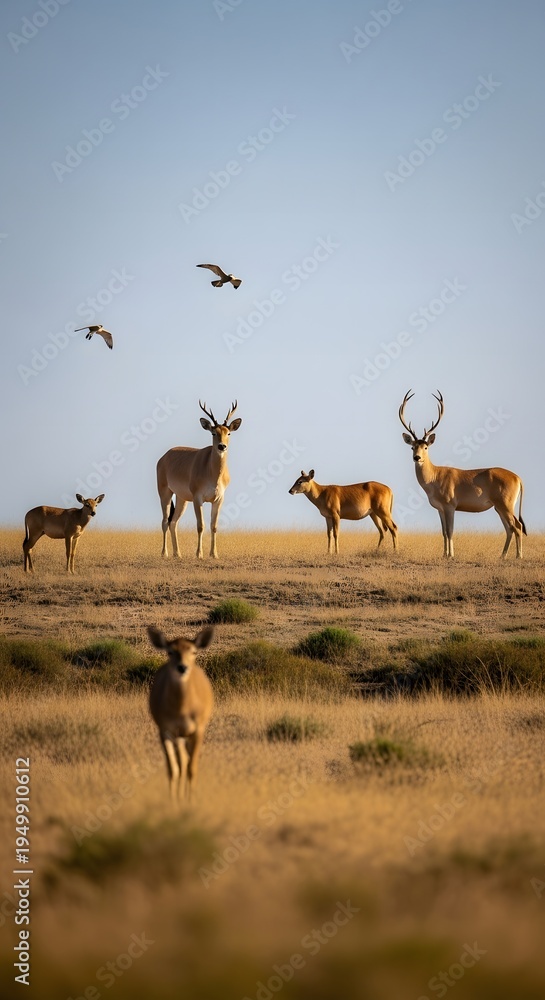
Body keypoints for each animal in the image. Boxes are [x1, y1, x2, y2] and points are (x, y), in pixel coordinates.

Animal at [147, 625, 214, 802]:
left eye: (193, 651)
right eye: (170, 651)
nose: (182, 667)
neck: (182, 709)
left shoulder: (198, 730)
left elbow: (192, 768)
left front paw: (191, 800)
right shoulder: (167, 731)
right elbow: (174, 769)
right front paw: (174, 801)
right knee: (181, 763)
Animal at [157, 400, 242, 559]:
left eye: (228, 433)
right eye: (213, 432)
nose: (222, 446)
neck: (212, 473)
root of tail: (164, 457)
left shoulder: (218, 499)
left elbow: (214, 526)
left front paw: (214, 554)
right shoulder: (198, 498)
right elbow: (200, 525)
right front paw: (199, 554)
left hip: (182, 498)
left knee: (173, 522)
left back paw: (177, 554)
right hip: (165, 493)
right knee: (165, 521)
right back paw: (164, 553)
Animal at [399, 390, 526, 559]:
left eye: (425, 447)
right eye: (412, 447)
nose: (417, 458)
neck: (435, 476)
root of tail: (517, 477)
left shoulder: (450, 507)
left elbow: (450, 531)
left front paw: (451, 555)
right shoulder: (440, 509)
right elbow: (443, 532)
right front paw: (444, 554)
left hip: (506, 506)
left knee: (517, 526)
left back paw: (519, 556)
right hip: (499, 508)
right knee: (509, 529)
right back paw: (502, 556)